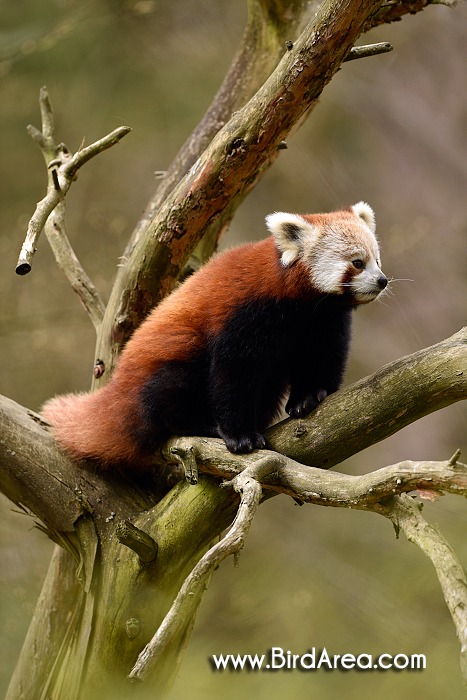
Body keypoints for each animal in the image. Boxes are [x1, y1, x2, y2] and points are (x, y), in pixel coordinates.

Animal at [43, 201, 388, 470]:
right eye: (357, 263)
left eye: (377, 260)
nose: (382, 280)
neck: (300, 304)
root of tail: (116, 389)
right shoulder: (246, 314)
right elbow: (233, 373)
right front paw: (239, 434)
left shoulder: (323, 321)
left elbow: (323, 356)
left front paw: (309, 396)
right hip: (169, 364)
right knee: (169, 390)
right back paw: (201, 424)